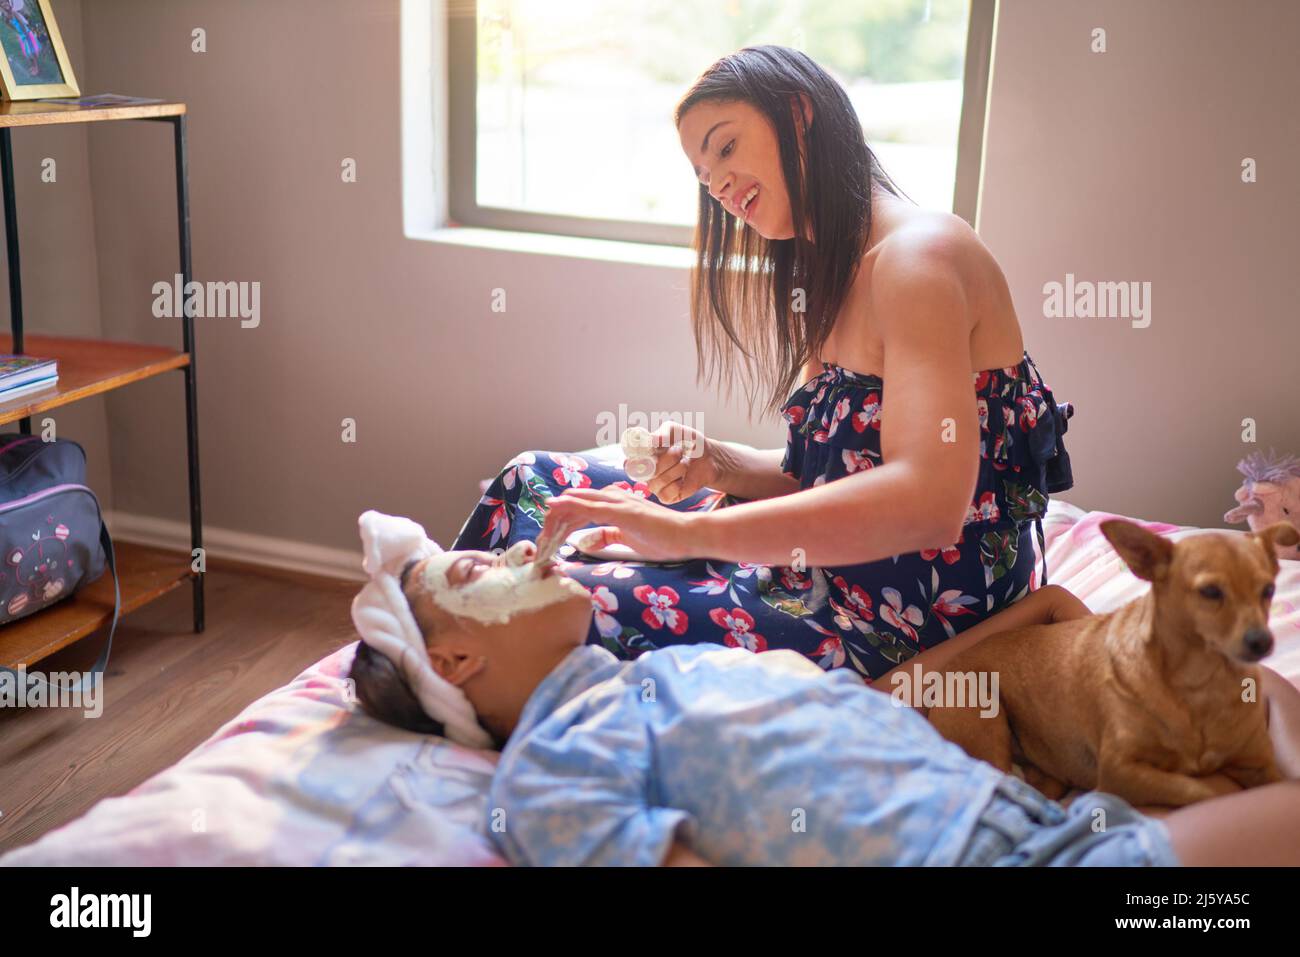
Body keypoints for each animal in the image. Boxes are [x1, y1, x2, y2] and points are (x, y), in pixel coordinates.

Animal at [930, 514, 1294, 806]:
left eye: (1269, 590)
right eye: (1210, 592)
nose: (1262, 642)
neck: (1202, 684)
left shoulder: (1262, 766)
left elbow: (1277, 785)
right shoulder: (1121, 772)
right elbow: (1204, 791)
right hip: (983, 717)